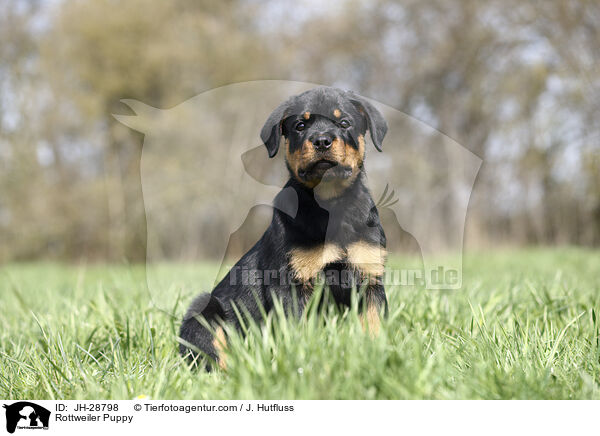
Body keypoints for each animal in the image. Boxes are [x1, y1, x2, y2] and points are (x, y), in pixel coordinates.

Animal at [178, 86, 390, 368]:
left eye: (344, 123)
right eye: (300, 125)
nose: (322, 140)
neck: (331, 204)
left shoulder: (370, 278)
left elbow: (374, 326)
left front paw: (376, 355)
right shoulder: (291, 284)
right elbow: (299, 331)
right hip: (203, 313)